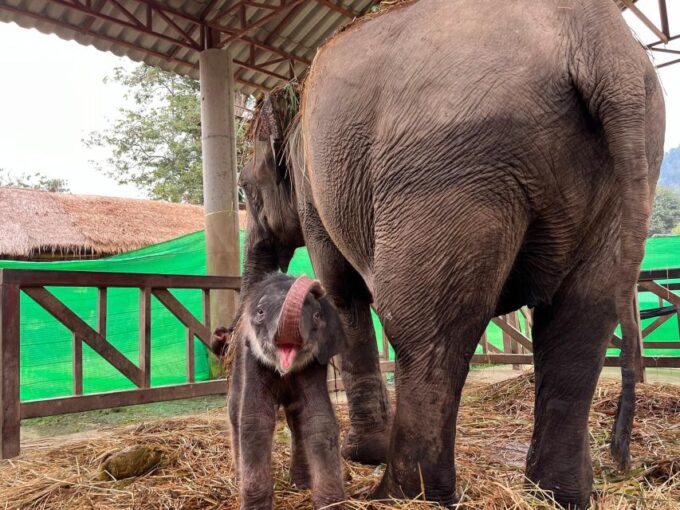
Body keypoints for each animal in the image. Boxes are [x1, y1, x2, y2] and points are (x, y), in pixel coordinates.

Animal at [227, 273, 346, 510]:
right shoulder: (252, 360)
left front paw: (329, 504)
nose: (315, 284)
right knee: (235, 410)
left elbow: (318, 420)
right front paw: (255, 507)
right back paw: (237, 476)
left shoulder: (315, 365)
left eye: (317, 315)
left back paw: (301, 484)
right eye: (260, 312)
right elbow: (255, 420)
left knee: (296, 421)